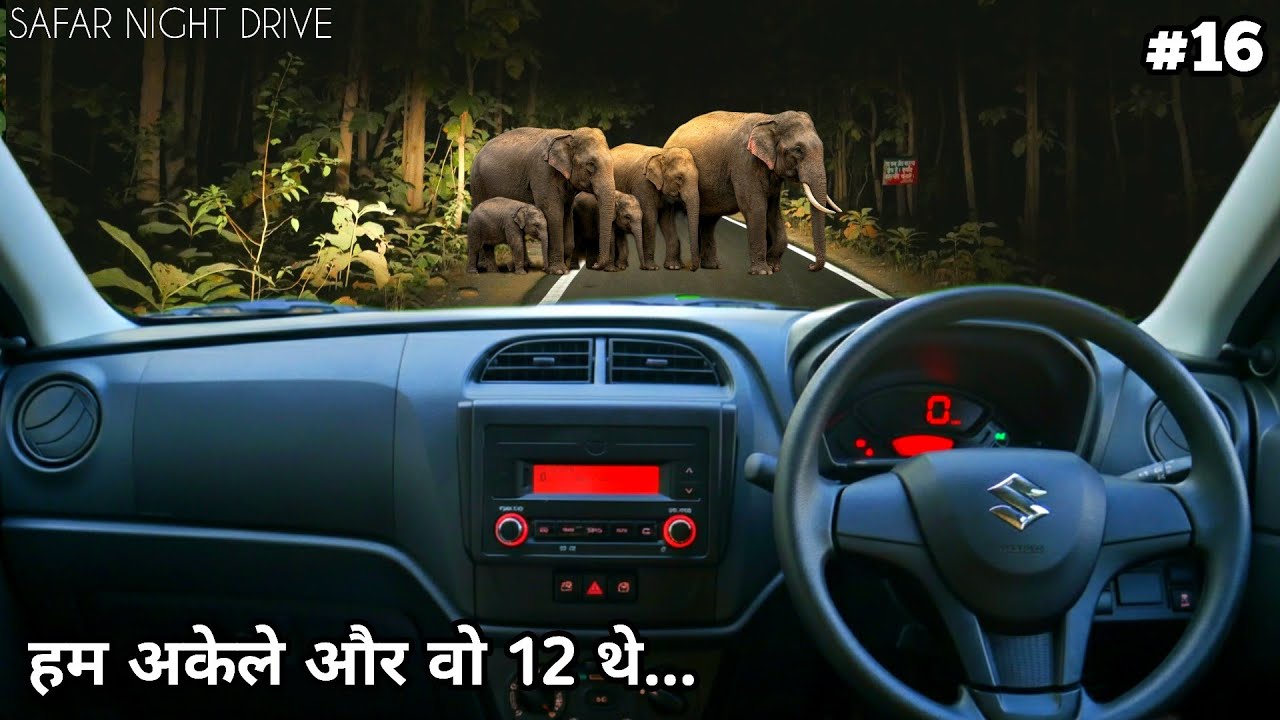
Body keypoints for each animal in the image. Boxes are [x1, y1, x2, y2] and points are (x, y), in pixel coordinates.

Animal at [471, 127, 619, 274]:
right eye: (591, 165)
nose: (595, 265)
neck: (569, 133)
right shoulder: (543, 172)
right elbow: (553, 213)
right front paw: (558, 271)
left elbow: (566, 213)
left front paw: (565, 266)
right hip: (478, 184)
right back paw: (483, 267)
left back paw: (527, 265)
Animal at [664, 110, 841, 275]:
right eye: (798, 149)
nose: (811, 266)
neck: (771, 118)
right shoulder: (743, 163)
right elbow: (755, 208)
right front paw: (763, 272)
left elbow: (773, 211)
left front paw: (774, 267)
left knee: (709, 220)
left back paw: (711, 266)